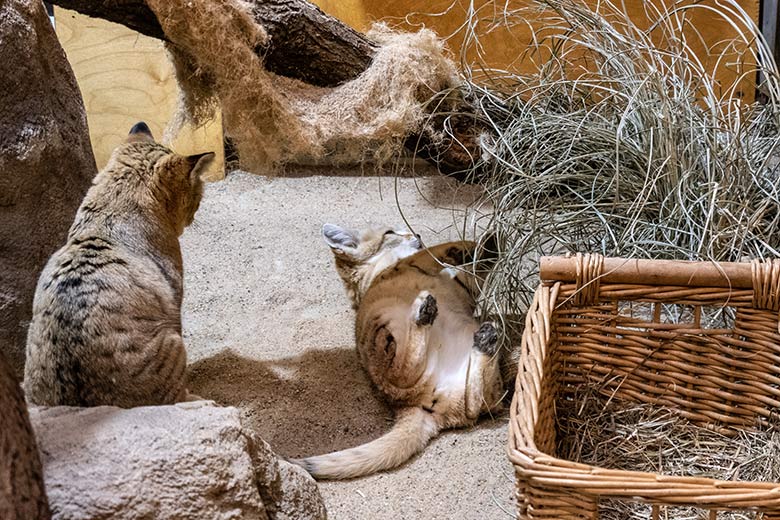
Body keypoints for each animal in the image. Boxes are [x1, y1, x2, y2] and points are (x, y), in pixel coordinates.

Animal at [294, 223, 506, 480]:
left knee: (477, 403)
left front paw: (489, 246)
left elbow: (476, 271)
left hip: (480, 388)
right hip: (384, 334)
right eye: (389, 233)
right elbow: (436, 252)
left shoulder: (464, 286)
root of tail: (414, 406)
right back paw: (423, 310)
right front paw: (476, 243)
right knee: (405, 368)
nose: (416, 234)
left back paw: (486, 339)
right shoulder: (414, 264)